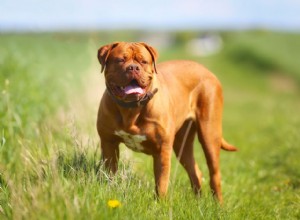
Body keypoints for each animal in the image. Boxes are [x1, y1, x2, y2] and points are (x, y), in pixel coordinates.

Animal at [96, 41, 237, 203]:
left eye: (143, 61)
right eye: (120, 60)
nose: (133, 68)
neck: (131, 109)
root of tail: (207, 71)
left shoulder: (162, 150)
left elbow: (161, 182)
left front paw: (159, 204)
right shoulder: (108, 144)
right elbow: (109, 173)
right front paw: (109, 192)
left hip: (209, 134)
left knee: (215, 174)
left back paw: (218, 204)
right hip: (182, 144)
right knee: (195, 171)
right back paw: (198, 202)